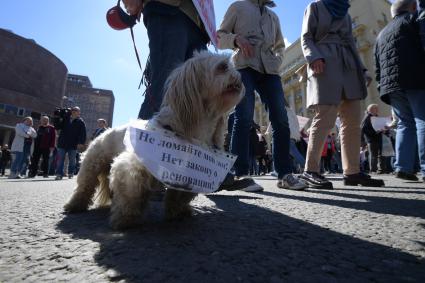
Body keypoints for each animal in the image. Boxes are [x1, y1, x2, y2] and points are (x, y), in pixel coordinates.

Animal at [62, 52, 242, 231]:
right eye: (222, 67)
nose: (239, 77)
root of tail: (103, 132)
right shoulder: (133, 167)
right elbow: (131, 192)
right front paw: (127, 217)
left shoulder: (191, 172)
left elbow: (179, 196)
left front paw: (177, 212)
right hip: (91, 166)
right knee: (84, 187)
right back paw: (74, 205)